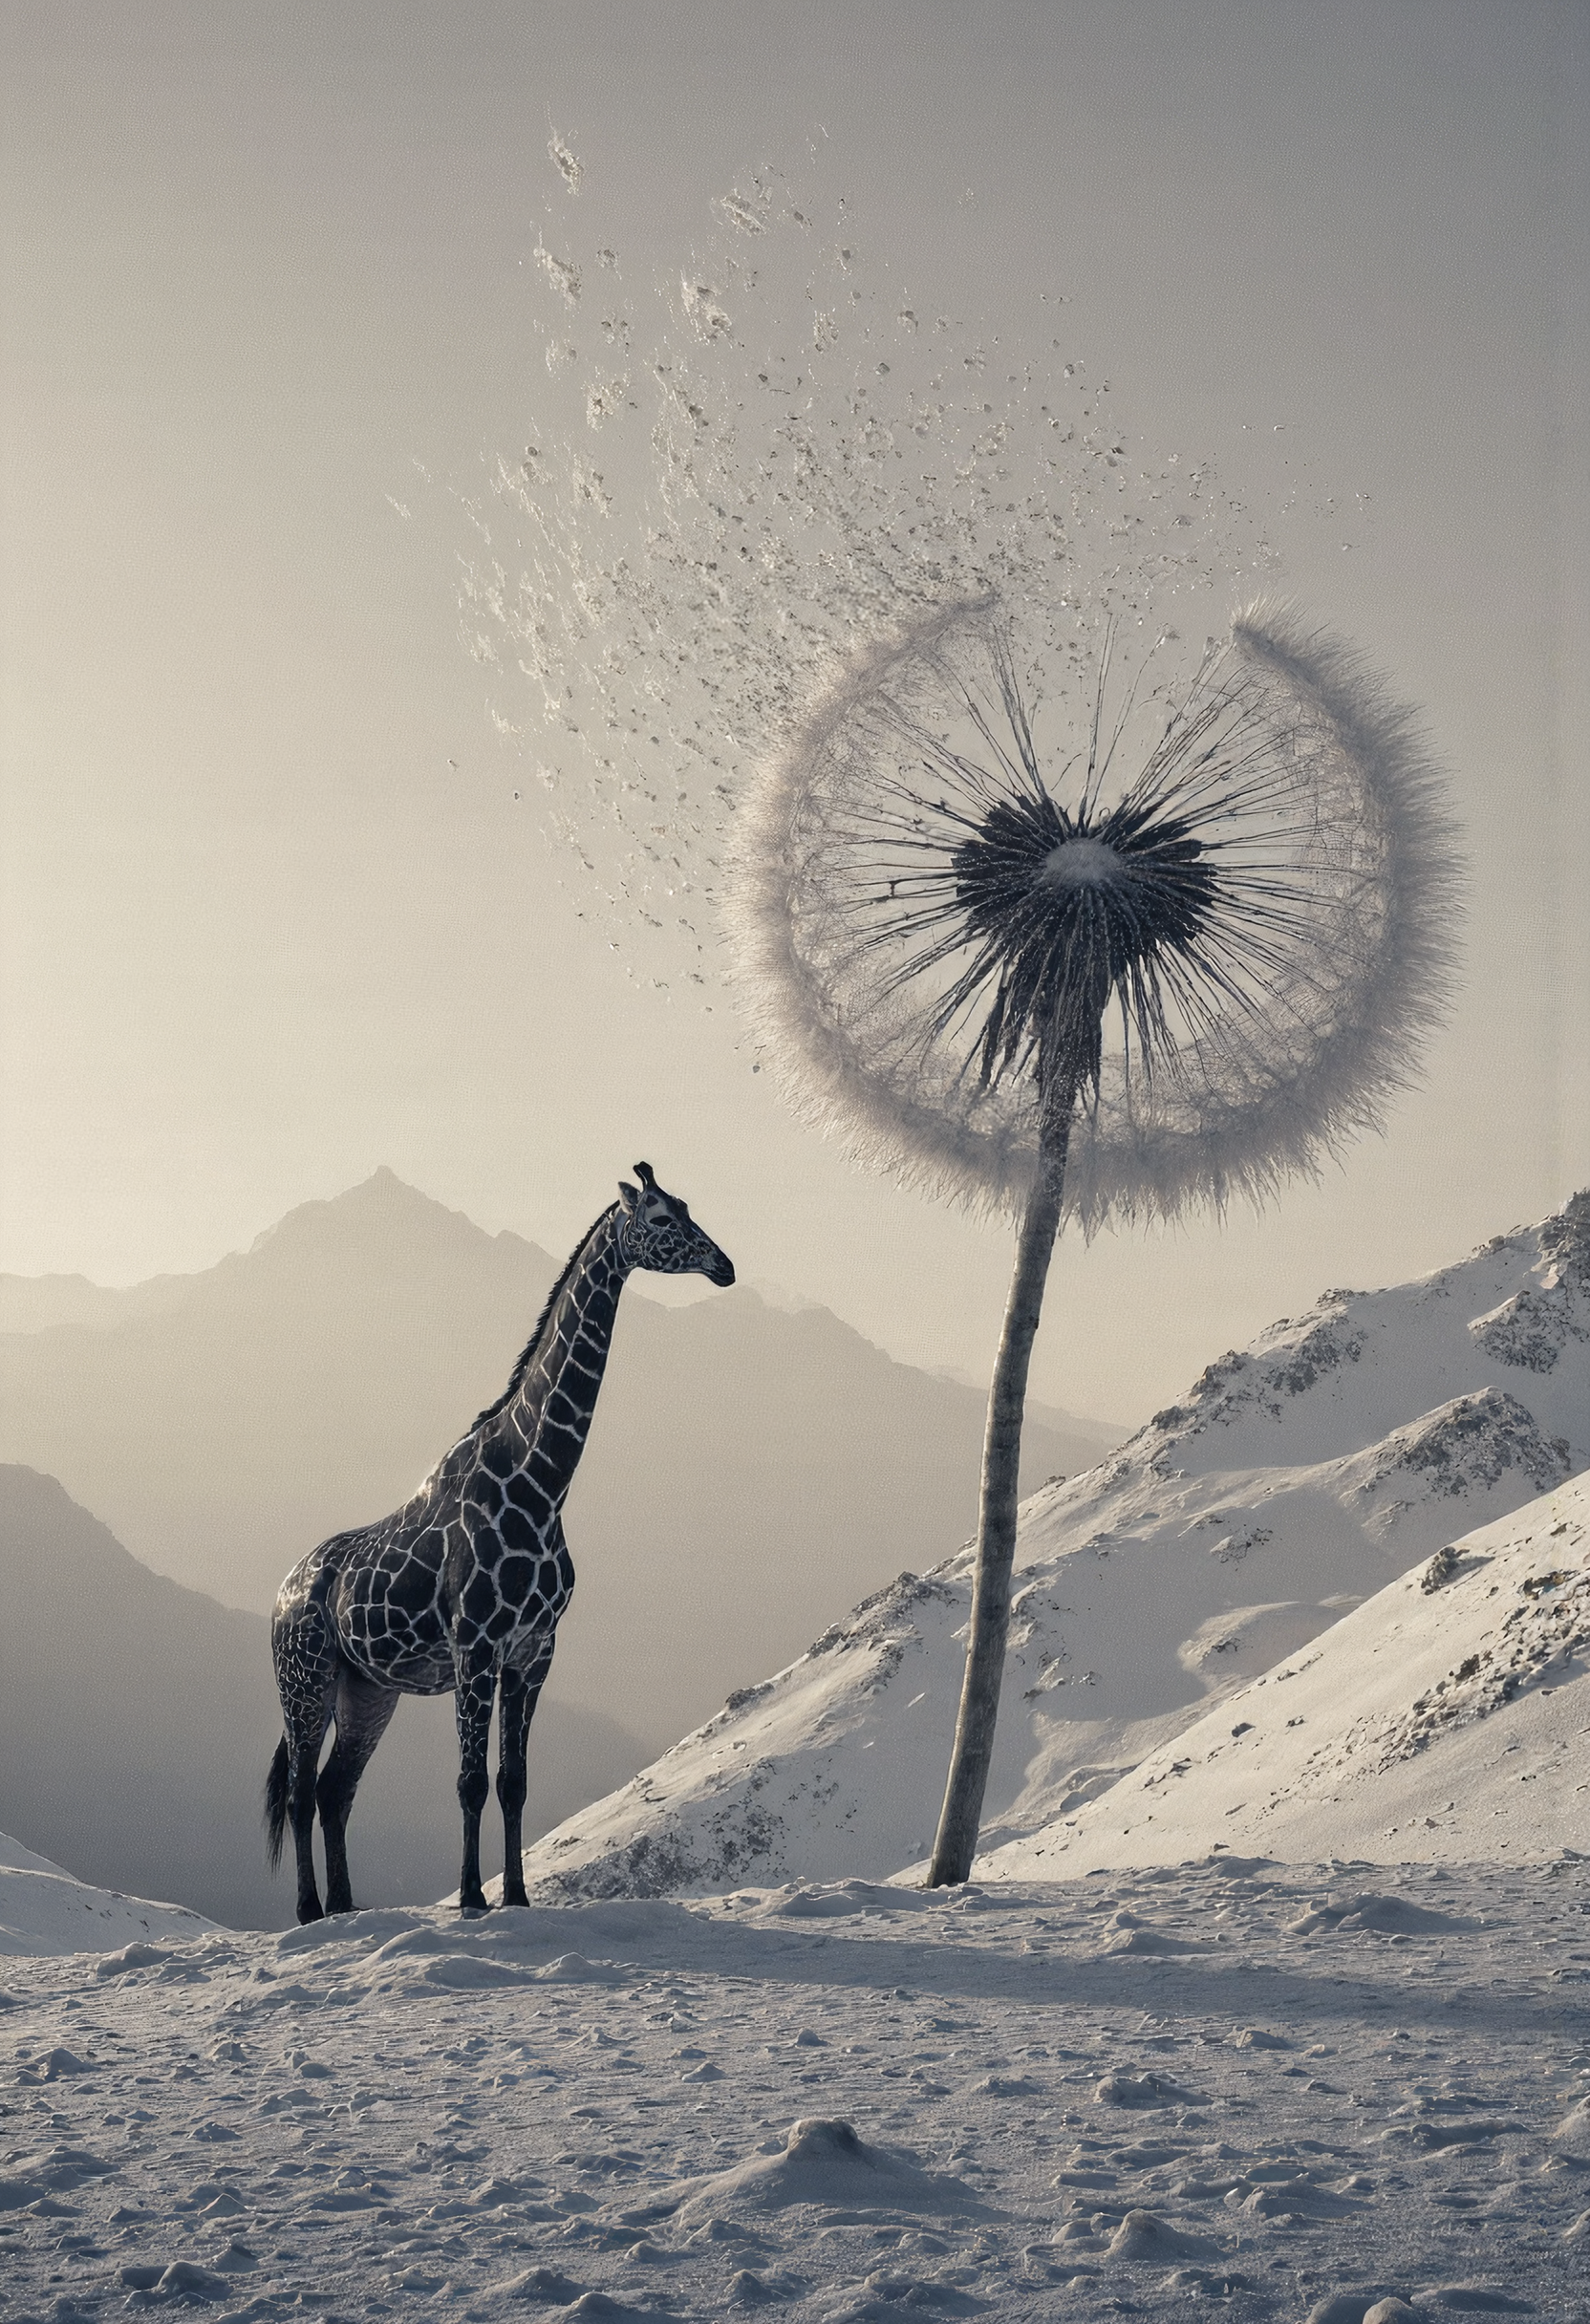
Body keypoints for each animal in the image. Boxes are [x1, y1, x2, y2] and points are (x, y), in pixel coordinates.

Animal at [264, 1163, 734, 1923]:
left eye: (689, 1207)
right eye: (662, 1218)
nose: (725, 1265)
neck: (544, 1484)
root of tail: (280, 1595)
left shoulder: (534, 1650)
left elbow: (514, 1780)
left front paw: (515, 1894)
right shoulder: (475, 1647)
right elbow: (469, 1780)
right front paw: (471, 1898)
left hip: (368, 1688)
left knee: (338, 1789)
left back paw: (346, 1908)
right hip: (303, 1678)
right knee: (304, 1790)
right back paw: (309, 1912)